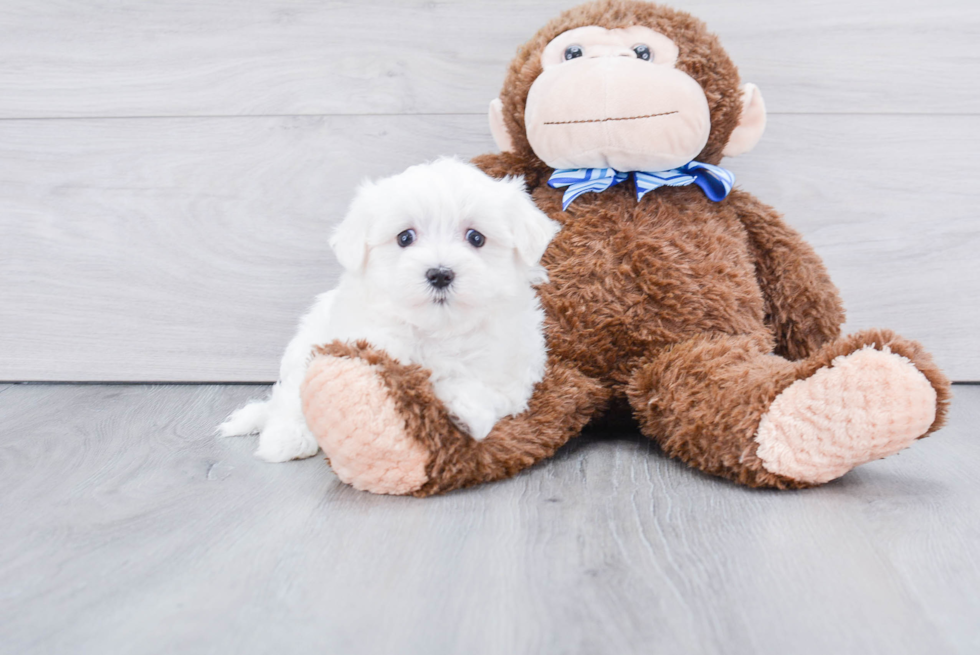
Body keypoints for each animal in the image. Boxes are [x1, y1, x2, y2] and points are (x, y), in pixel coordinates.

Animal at [219, 158, 564, 462]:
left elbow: (486, 390)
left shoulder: (512, 374)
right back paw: (286, 436)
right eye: (405, 237)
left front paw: (462, 409)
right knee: (288, 394)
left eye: (476, 237)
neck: (437, 328)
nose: (440, 274)